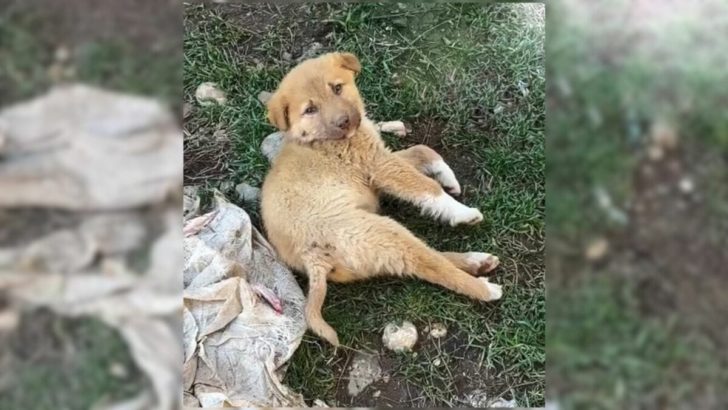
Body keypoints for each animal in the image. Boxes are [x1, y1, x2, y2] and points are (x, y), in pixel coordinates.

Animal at [262, 52, 506, 346]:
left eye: (337, 88)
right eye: (310, 110)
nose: (344, 122)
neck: (317, 140)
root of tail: (311, 259)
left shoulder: (377, 163)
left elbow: (422, 150)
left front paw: (447, 176)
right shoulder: (379, 165)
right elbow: (424, 185)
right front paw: (461, 212)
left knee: (426, 256)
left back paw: (476, 261)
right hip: (377, 230)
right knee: (430, 265)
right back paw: (483, 288)